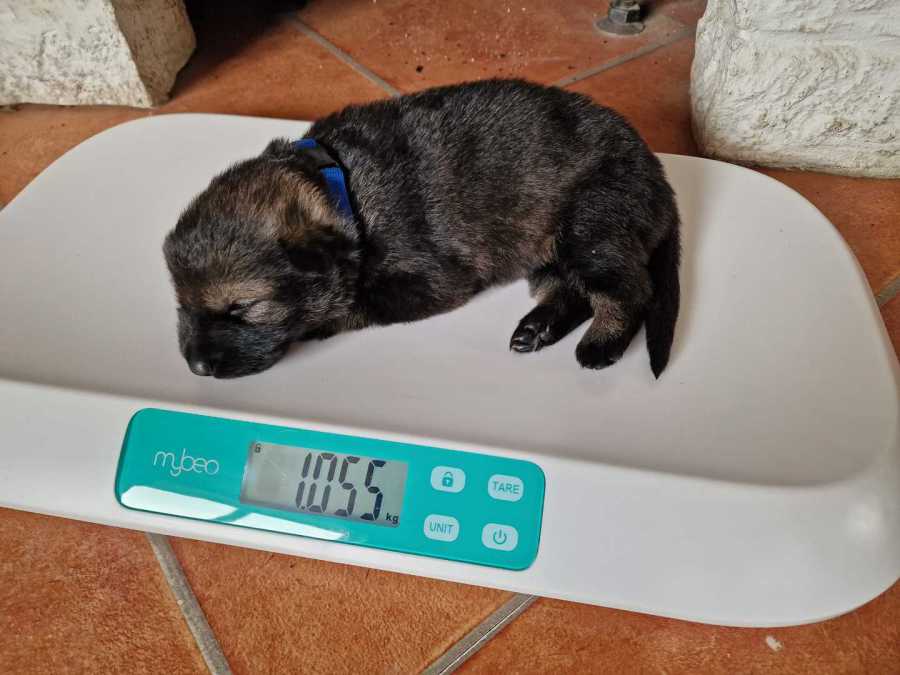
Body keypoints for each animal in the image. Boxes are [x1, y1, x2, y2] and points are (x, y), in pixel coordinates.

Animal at [163, 79, 680, 379]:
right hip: (547, 246)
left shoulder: (428, 282)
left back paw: (602, 343)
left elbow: (352, 303)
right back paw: (539, 327)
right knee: (571, 290)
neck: (338, 188)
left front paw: (320, 322)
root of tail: (658, 175)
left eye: (241, 308)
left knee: (629, 290)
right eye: (182, 304)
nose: (196, 366)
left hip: (589, 225)